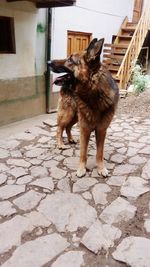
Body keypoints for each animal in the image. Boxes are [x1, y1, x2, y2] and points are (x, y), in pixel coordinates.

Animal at [49, 38, 119, 178]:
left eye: (70, 60)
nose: (48, 62)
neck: (94, 92)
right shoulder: (85, 128)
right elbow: (83, 152)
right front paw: (81, 169)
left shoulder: (101, 130)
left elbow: (99, 153)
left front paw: (101, 168)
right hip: (69, 114)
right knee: (59, 128)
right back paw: (60, 144)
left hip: (76, 116)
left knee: (68, 127)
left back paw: (70, 139)